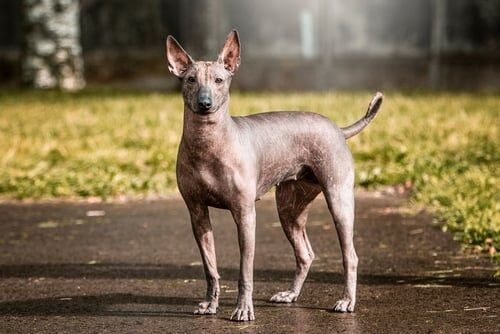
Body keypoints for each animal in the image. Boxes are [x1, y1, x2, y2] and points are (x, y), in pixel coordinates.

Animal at [166, 30, 384, 322]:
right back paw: (290, 295)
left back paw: (347, 300)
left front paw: (243, 309)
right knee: (305, 254)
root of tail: (338, 129)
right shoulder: (197, 214)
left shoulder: (245, 214)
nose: (205, 104)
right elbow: (210, 268)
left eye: (219, 80)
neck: (208, 142)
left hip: (339, 202)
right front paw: (210, 304)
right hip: (289, 209)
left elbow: (245, 271)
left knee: (350, 255)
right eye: (191, 80)